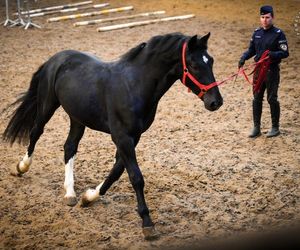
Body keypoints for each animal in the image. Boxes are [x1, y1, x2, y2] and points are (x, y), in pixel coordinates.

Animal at [2, 32, 223, 239]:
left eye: (211, 60)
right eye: (193, 64)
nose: (216, 102)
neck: (133, 85)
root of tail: (55, 58)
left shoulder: (133, 137)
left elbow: (117, 171)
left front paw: (89, 197)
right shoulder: (122, 137)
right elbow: (136, 177)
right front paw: (147, 224)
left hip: (77, 117)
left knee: (69, 147)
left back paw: (70, 193)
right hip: (47, 105)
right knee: (36, 132)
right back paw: (22, 167)